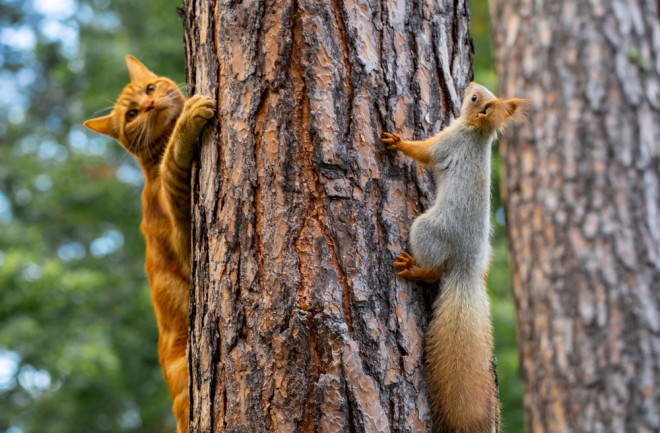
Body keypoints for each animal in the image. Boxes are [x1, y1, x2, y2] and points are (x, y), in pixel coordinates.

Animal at [84, 54, 214, 432]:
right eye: (131, 115)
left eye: (151, 88)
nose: (149, 105)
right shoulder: (186, 243)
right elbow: (173, 164)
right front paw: (187, 123)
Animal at [382, 82, 532, 432]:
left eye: (475, 98)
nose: (470, 86)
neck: (478, 133)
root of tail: (468, 265)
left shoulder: (448, 142)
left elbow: (424, 153)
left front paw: (398, 142)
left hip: (426, 229)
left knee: (434, 272)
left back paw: (414, 270)